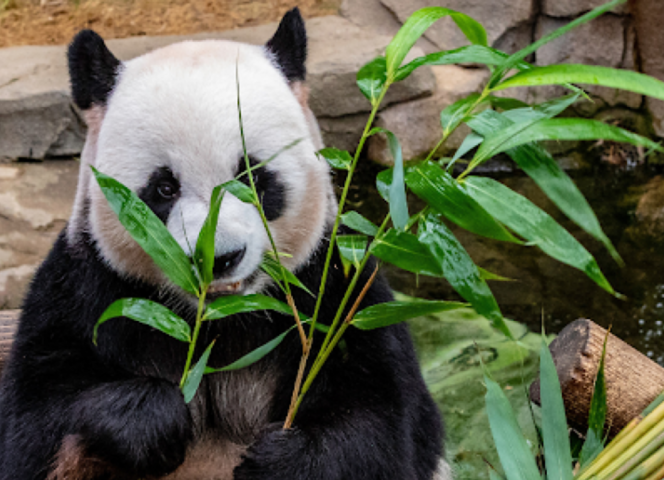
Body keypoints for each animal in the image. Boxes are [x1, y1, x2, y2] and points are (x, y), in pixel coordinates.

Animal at [0, 7, 448, 480]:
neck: (222, 319)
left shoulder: (337, 292)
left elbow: (381, 425)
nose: (219, 258)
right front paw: (152, 418)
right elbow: (37, 418)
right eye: (163, 188)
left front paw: (282, 460)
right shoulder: (87, 287)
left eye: (251, 175)